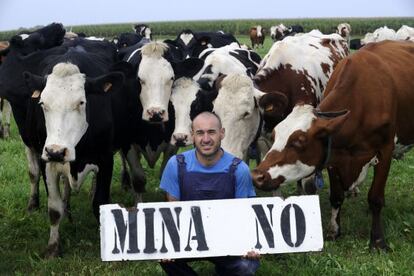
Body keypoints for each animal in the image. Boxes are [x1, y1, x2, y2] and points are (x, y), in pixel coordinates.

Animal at [251, 41, 414, 250]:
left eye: (299, 141)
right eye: (275, 134)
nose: (256, 176)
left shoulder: (385, 150)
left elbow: (376, 198)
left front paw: (378, 241)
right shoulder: (333, 155)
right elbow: (336, 196)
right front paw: (334, 230)